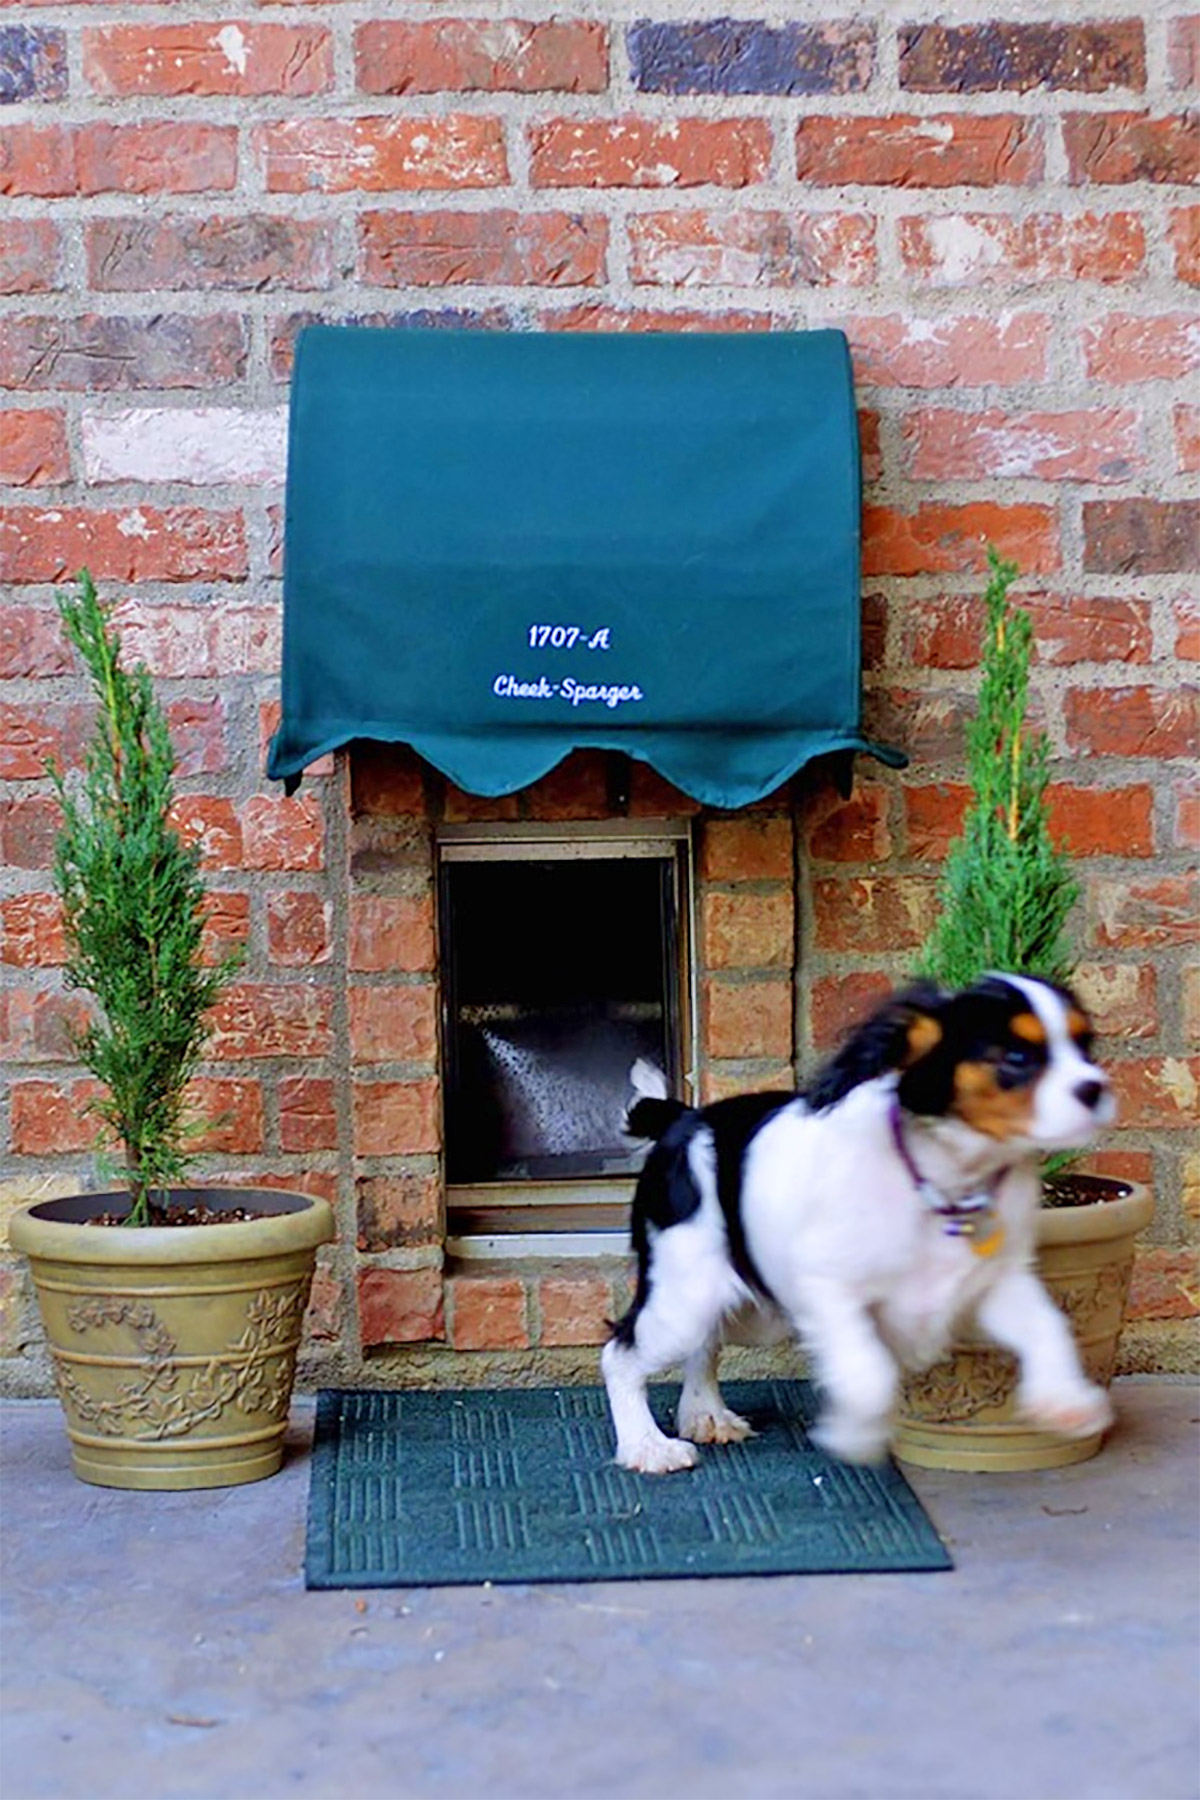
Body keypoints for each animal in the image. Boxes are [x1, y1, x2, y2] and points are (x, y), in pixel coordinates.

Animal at [604, 979, 1122, 1468]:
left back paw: (704, 1413)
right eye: (1016, 1057)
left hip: (748, 1310)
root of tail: (687, 1118)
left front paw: (1067, 1401)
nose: (1095, 1088)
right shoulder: (826, 1289)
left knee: (704, 1342)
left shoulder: (995, 1282)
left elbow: (1047, 1324)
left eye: (1084, 1046)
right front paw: (855, 1433)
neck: (943, 1180)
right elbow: (870, 1373)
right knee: (621, 1353)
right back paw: (647, 1446)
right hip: (685, 1294)